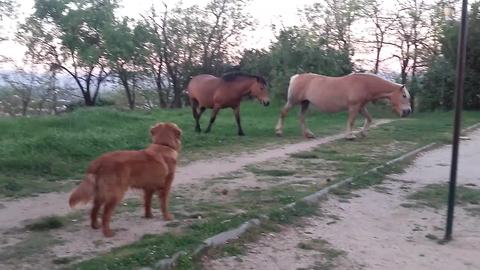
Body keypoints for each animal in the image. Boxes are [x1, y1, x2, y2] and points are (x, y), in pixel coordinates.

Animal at [276, 72, 410, 139]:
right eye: (404, 96)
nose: (408, 111)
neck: (365, 84)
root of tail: (296, 77)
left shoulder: (361, 107)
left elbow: (369, 118)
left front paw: (363, 133)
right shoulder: (354, 107)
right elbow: (351, 121)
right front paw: (350, 136)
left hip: (305, 103)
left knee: (302, 117)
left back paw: (308, 134)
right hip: (293, 101)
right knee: (283, 113)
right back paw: (279, 132)